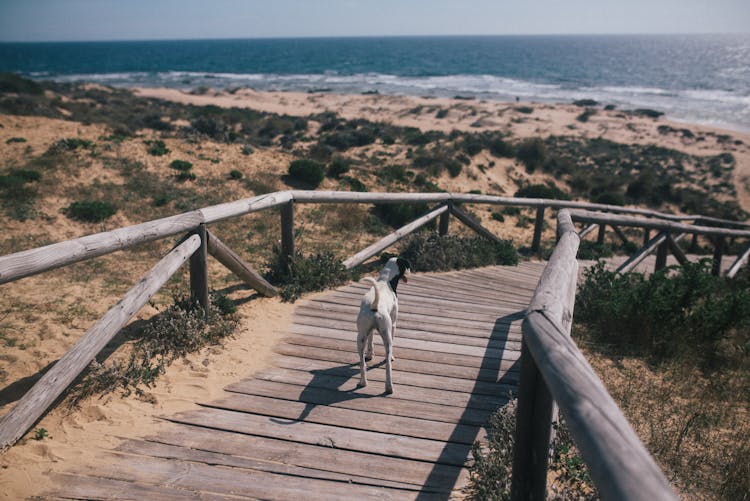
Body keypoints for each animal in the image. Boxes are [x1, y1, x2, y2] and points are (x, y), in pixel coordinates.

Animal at [356, 258, 412, 394]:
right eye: (407, 266)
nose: (411, 272)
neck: (385, 281)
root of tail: (374, 304)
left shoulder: (369, 331)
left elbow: (370, 342)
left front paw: (370, 355)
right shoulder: (393, 324)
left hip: (360, 338)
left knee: (362, 363)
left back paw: (363, 382)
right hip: (387, 336)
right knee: (388, 366)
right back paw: (389, 387)